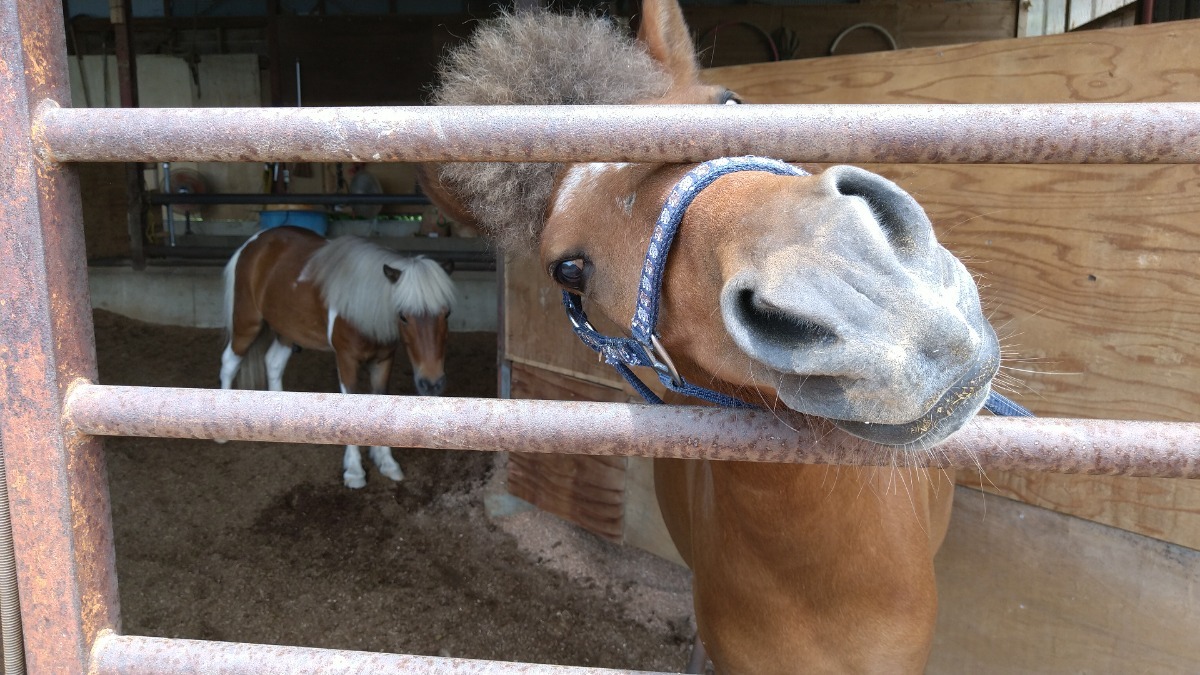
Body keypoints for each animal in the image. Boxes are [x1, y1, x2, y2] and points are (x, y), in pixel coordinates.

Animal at [218, 227, 456, 487]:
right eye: (403, 316)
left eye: (447, 313)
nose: (432, 383)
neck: (363, 307)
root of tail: (254, 243)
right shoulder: (347, 360)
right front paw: (354, 471)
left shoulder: (383, 361)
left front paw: (386, 462)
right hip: (247, 323)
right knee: (229, 363)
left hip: (288, 331)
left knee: (273, 362)